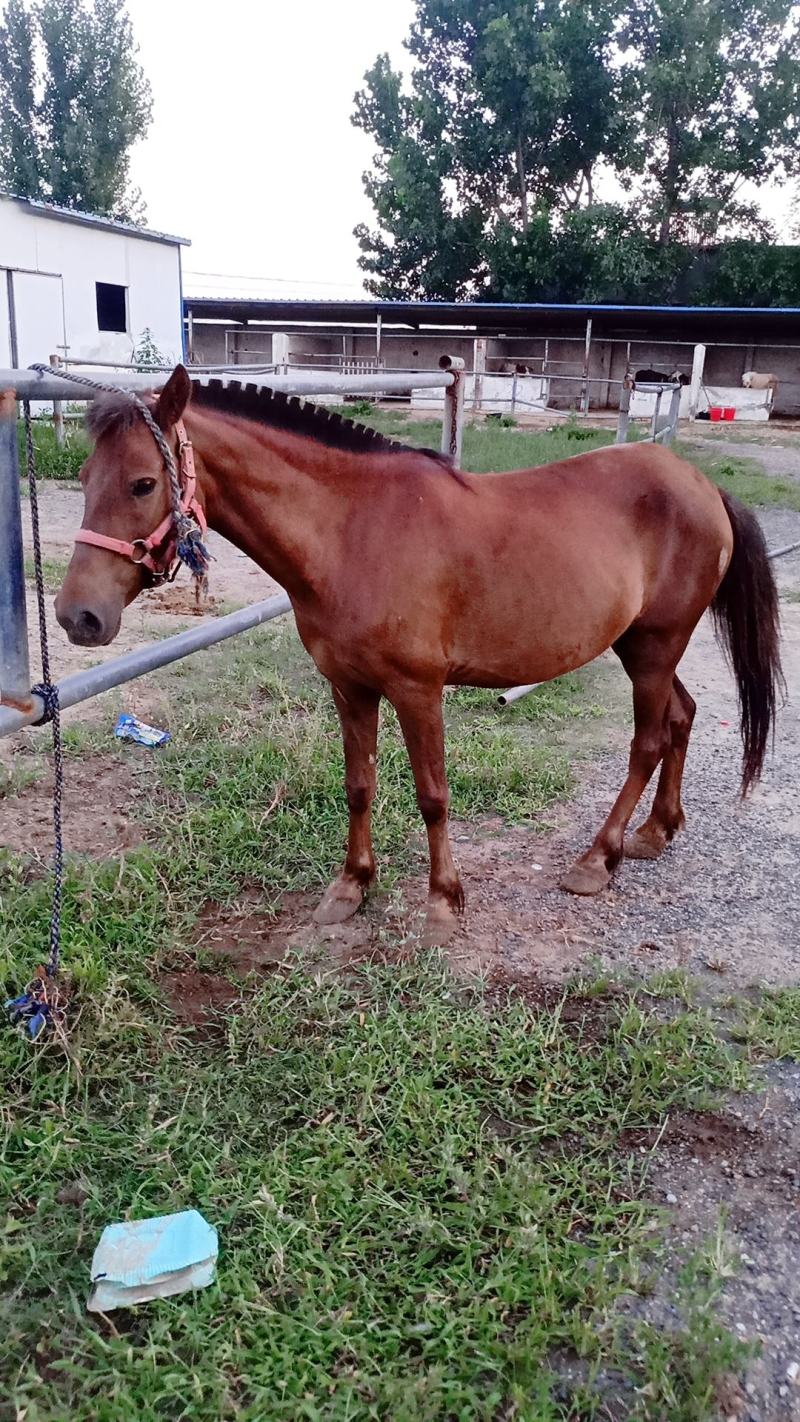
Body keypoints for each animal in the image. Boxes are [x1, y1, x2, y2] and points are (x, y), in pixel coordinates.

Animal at [54, 365, 782, 947]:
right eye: (85, 477)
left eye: (142, 483)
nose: (76, 616)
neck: (352, 530)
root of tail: (703, 487)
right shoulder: (348, 687)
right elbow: (359, 785)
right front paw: (351, 887)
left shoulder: (418, 689)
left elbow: (432, 795)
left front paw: (443, 903)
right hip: (643, 648)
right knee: (682, 718)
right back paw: (656, 833)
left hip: (655, 648)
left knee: (649, 741)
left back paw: (597, 861)